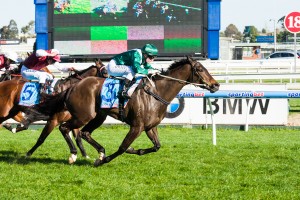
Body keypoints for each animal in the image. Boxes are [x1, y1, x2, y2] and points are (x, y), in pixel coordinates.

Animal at [23, 56, 219, 166]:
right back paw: (74, 155)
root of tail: (72, 86)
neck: (157, 92)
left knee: (84, 133)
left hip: (98, 116)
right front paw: (103, 160)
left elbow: (156, 146)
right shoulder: (137, 126)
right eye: (200, 69)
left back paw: (99, 151)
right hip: (84, 115)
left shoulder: (150, 127)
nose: (215, 85)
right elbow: (122, 147)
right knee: (65, 128)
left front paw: (134, 150)